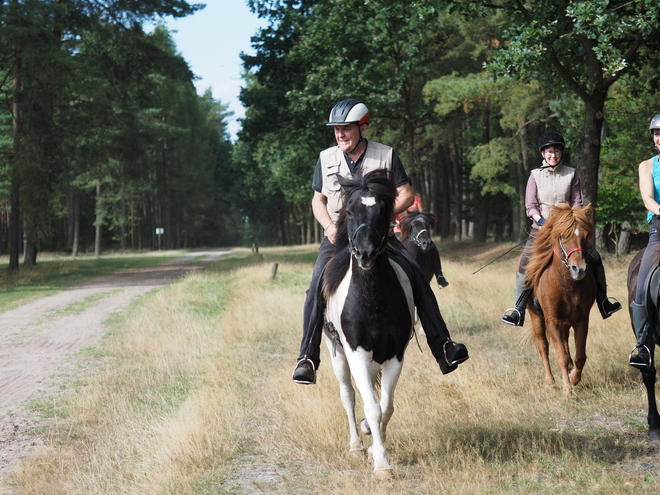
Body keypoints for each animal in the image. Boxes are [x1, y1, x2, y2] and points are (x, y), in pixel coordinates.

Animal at [320, 170, 412, 480]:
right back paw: (356, 445)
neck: (373, 301)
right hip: (337, 354)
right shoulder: (356, 353)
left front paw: (376, 448)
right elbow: (371, 407)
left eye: (382, 211)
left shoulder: (395, 356)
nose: (366, 254)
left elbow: (386, 407)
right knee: (348, 395)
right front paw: (381, 464)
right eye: (349, 211)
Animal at [524, 204, 600, 396]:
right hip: (536, 317)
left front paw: (574, 379)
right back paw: (551, 382)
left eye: (585, 236)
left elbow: (580, 355)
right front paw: (567, 389)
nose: (579, 269)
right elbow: (561, 356)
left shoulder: (582, 320)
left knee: (565, 344)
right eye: (564, 236)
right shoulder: (553, 321)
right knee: (543, 346)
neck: (566, 284)